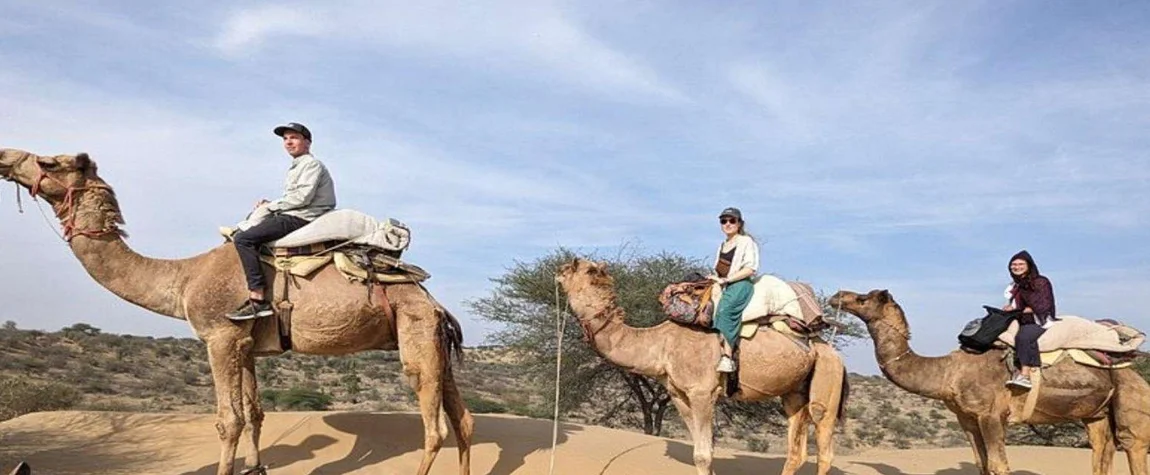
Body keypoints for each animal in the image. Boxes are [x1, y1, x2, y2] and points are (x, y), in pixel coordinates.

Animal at [0, 149, 476, 473]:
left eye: (49, 161)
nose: (5, 156)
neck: (185, 277)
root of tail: (433, 300)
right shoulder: (246, 344)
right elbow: (255, 414)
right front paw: (255, 466)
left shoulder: (219, 337)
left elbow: (228, 420)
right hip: (432, 338)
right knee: (464, 420)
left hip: (414, 335)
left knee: (434, 428)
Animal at [552, 258, 851, 473]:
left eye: (585, 268)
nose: (560, 267)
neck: (661, 344)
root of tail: (832, 352)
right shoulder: (678, 394)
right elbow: (702, 450)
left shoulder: (702, 392)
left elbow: (703, 455)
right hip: (794, 392)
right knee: (795, 451)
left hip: (827, 378)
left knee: (824, 446)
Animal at [828, 286, 1150, 473]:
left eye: (863, 298)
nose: (836, 295)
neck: (948, 371)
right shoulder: (967, 419)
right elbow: (982, 465)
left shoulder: (991, 415)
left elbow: (998, 466)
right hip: (1096, 413)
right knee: (1101, 450)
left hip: (1131, 400)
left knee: (1133, 444)